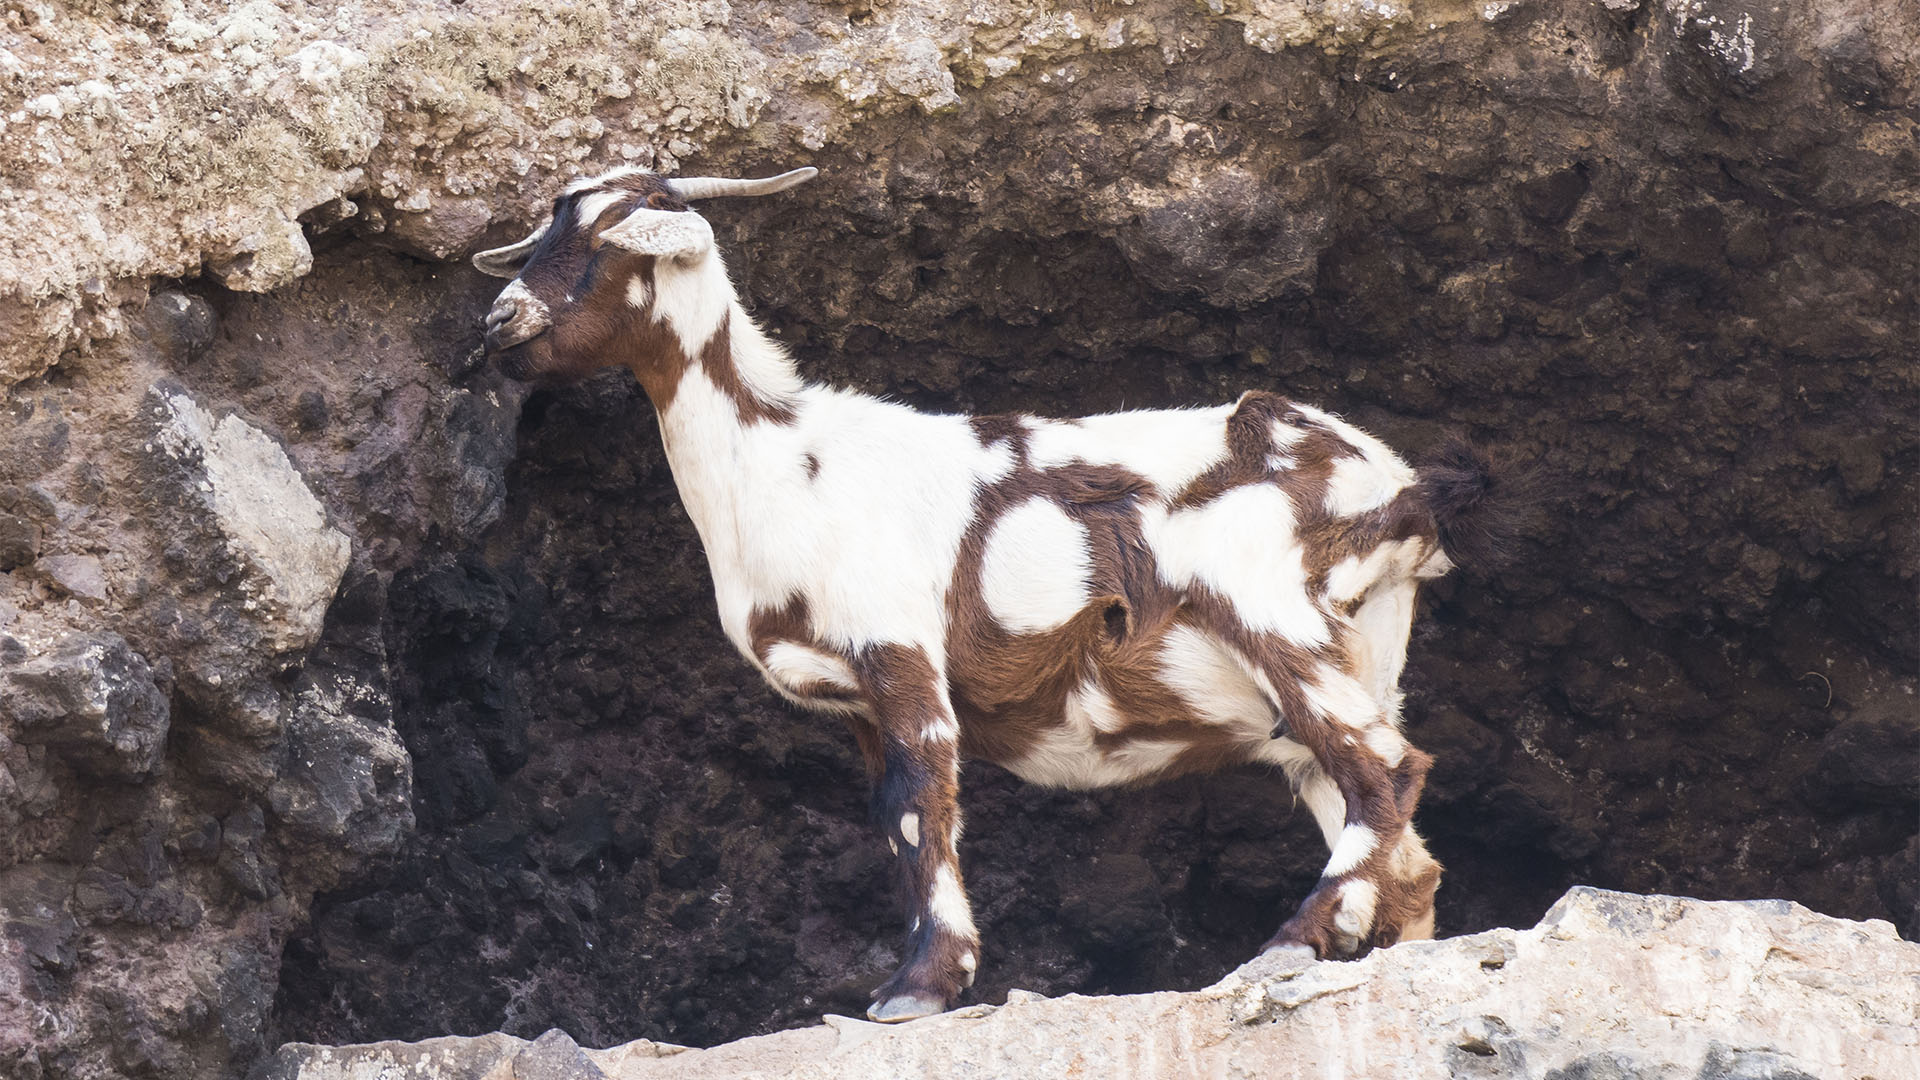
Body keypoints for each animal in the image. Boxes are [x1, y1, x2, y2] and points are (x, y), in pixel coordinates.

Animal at [476, 166, 1497, 1014]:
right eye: (542, 234)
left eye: (612, 241)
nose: (498, 324)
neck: (785, 457)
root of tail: (1398, 488)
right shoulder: (856, 700)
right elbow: (895, 818)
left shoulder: (897, 645)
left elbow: (923, 797)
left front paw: (920, 986)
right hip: (1352, 661)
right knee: (1400, 842)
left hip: (1270, 611)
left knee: (1388, 770)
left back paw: (1286, 943)